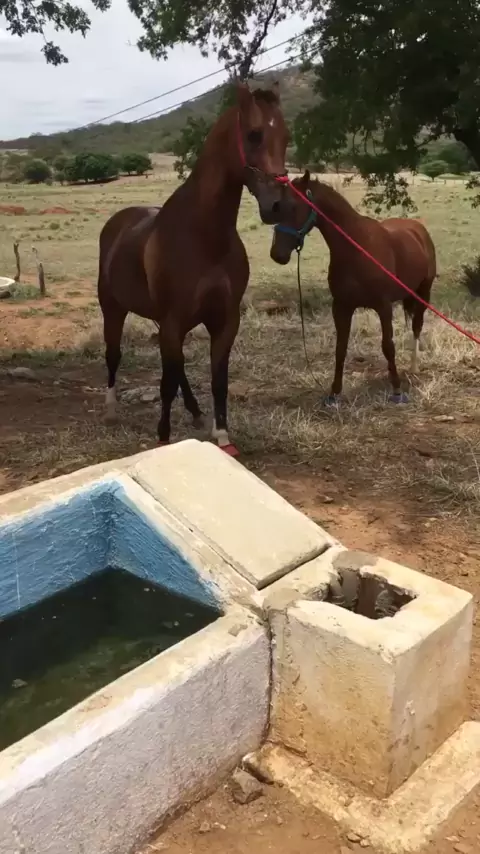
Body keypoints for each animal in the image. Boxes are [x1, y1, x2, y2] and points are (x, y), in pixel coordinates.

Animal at [98, 82, 289, 455]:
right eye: (254, 134)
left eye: (286, 136)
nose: (277, 205)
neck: (203, 238)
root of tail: (117, 222)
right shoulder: (174, 319)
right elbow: (165, 382)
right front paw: (163, 437)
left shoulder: (224, 320)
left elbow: (217, 379)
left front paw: (223, 436)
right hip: (113, 310)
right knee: (115, 356)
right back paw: (111, 410)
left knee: (178, 367)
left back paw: (197, 413)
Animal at [270, 170, 437, 403]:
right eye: (278, 206)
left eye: (294, 206)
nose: (277, 254)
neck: (357, 248)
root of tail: (418, 229)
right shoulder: (342, 307)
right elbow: (340, 349)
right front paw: (334, 393)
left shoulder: (383, 307)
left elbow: (388, 346)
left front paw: (396, 389)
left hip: (424, 292)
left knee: (417, 326)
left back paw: (413, 368)